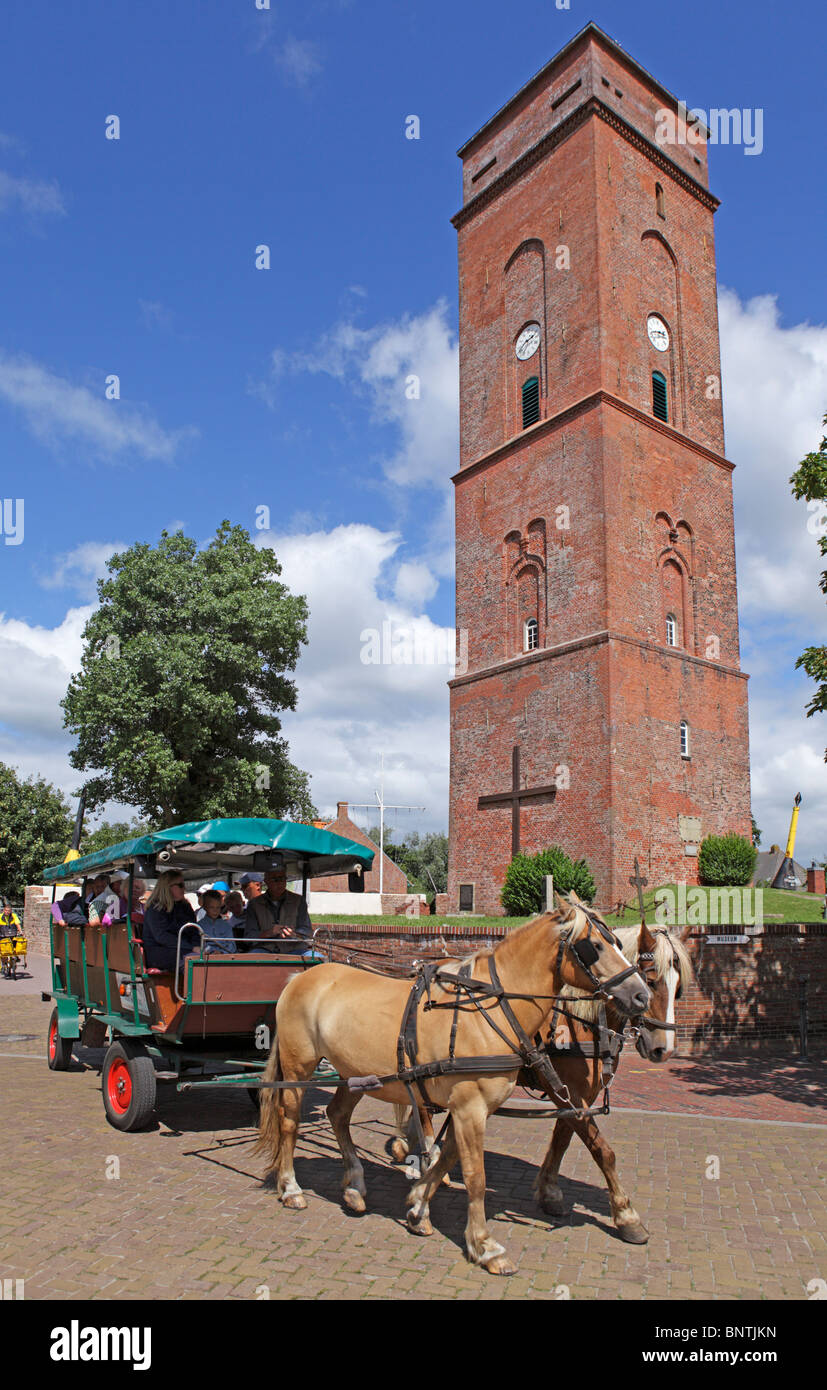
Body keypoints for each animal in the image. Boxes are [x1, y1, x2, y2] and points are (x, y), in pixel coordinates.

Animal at [255, 895, 650, 1273]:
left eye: (617, 942)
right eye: (593, 946)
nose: (641, 995)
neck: (490, 1010)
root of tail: (301, 977)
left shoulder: (476, 1108)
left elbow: (447, 1158)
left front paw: (418, 1207)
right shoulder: (470, 1106)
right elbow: (475, 1175)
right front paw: (485, 1246)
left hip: (354, 1074)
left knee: (337, 1115)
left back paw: (354, 1186)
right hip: (298, 1068)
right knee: (289, 1121)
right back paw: (290, 1187)